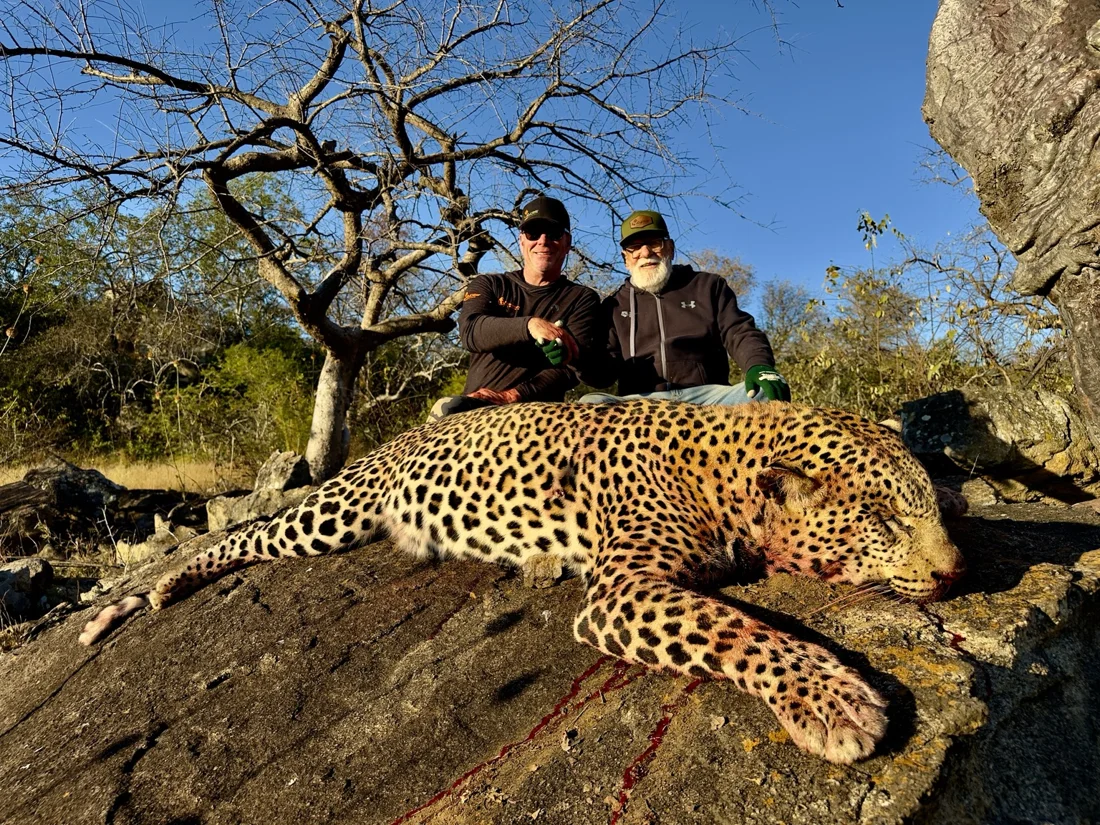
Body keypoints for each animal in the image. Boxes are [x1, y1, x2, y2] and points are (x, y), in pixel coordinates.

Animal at [80, 400, 965, 765]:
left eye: (932, 502)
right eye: (885, 517)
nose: (956, 568)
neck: (728, 475)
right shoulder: (620, 588)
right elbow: (736, 628)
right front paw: (833, 699)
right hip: (336, 512)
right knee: (245, 533)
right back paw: (146, 595)